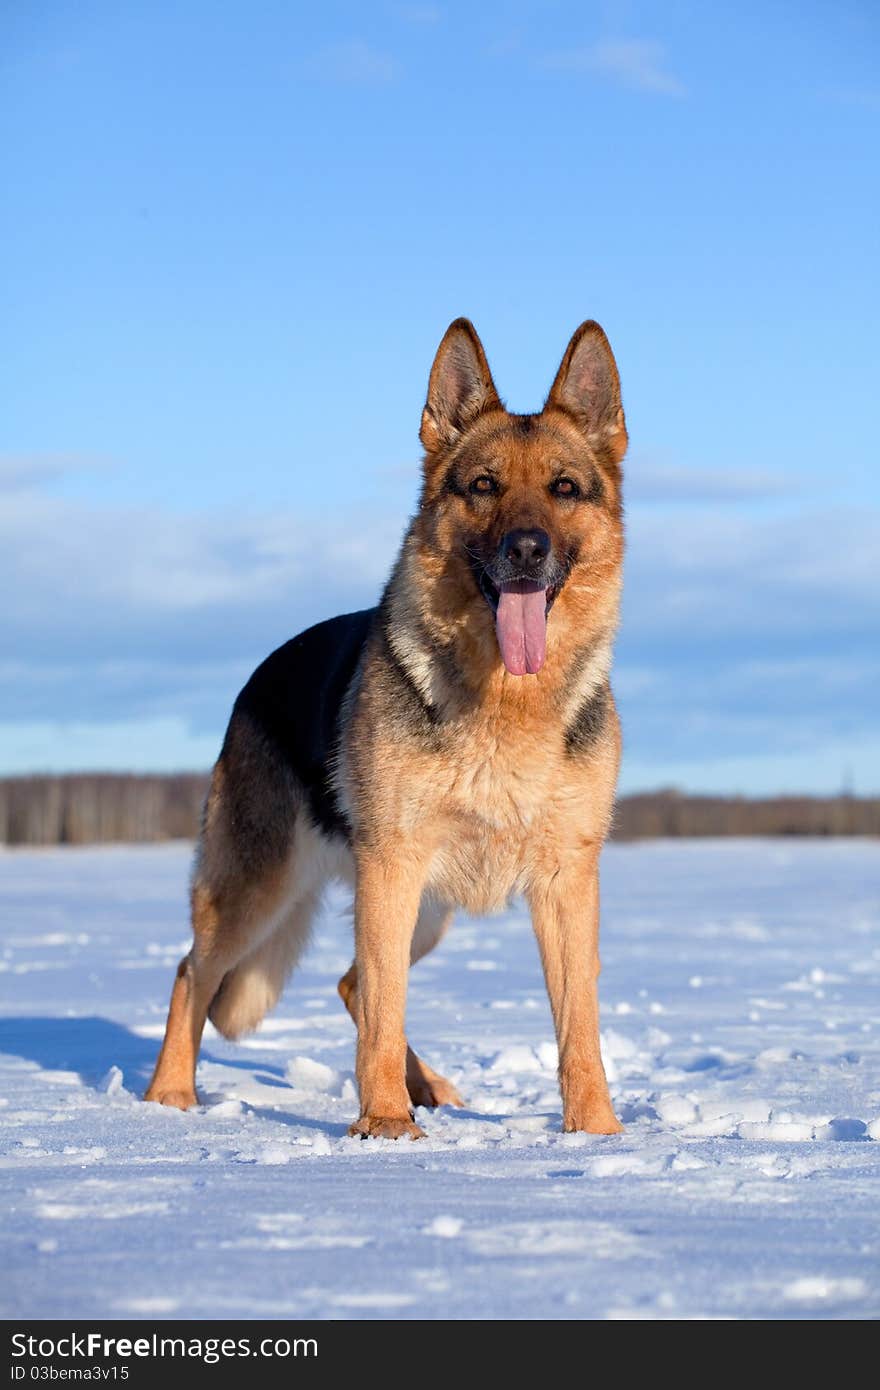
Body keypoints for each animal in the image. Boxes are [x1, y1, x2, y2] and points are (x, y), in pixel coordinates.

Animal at [143, 319, 625, 1134]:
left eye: (564, 488)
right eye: (483, 485)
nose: (527, 550)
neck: (506, 702)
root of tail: (257, 677)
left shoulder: (567, 880)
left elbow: (578, 1022)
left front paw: (596, 1133)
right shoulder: (392, 866)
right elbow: (381, 1009)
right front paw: (387, 1129)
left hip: (423, 910)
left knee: (350, 984)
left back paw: (428, 1086)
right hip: (265, 888)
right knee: (196, 972)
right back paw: (168, 1098)